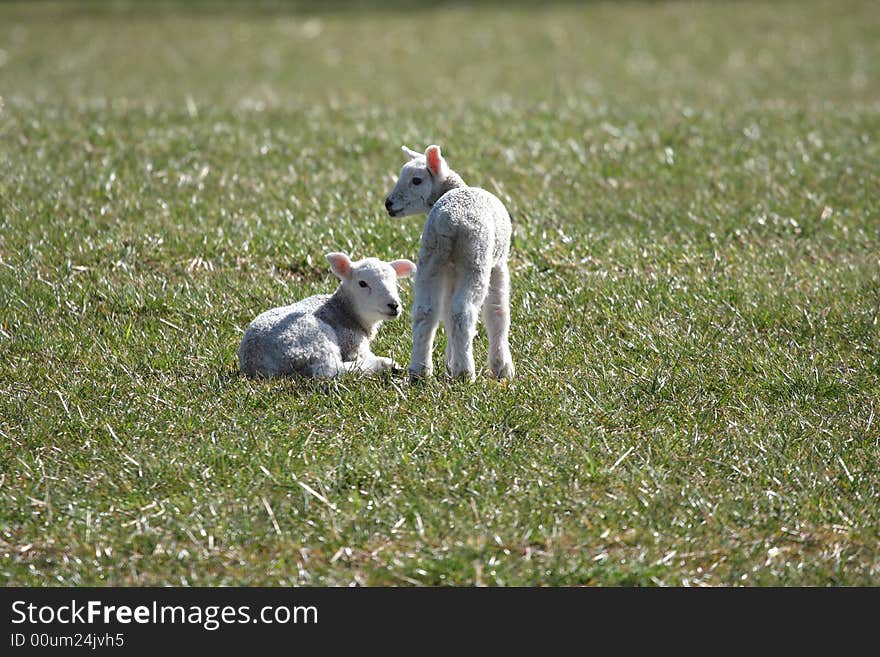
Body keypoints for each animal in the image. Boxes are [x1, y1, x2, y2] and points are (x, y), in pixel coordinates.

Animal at [237, 254, 416, 382]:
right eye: (362, 283)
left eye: (395, 281)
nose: (394, 305)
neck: (344, 310)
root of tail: (256, 363)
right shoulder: (351, 342)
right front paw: (389, 363)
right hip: (312, 338)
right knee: (328, 370)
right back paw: (385, 365)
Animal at [384, 143, 516, 380]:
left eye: (416, 180)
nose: (388, 203)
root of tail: (450, 221)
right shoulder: (499, 263)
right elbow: (497, 313)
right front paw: (502, 368)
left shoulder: (451, 270)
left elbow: (445, 313)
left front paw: (449, 363)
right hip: (476, 258)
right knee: (463, 312)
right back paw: (465, 372)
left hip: (430, 257)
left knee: (425, 311)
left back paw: (420, 371)